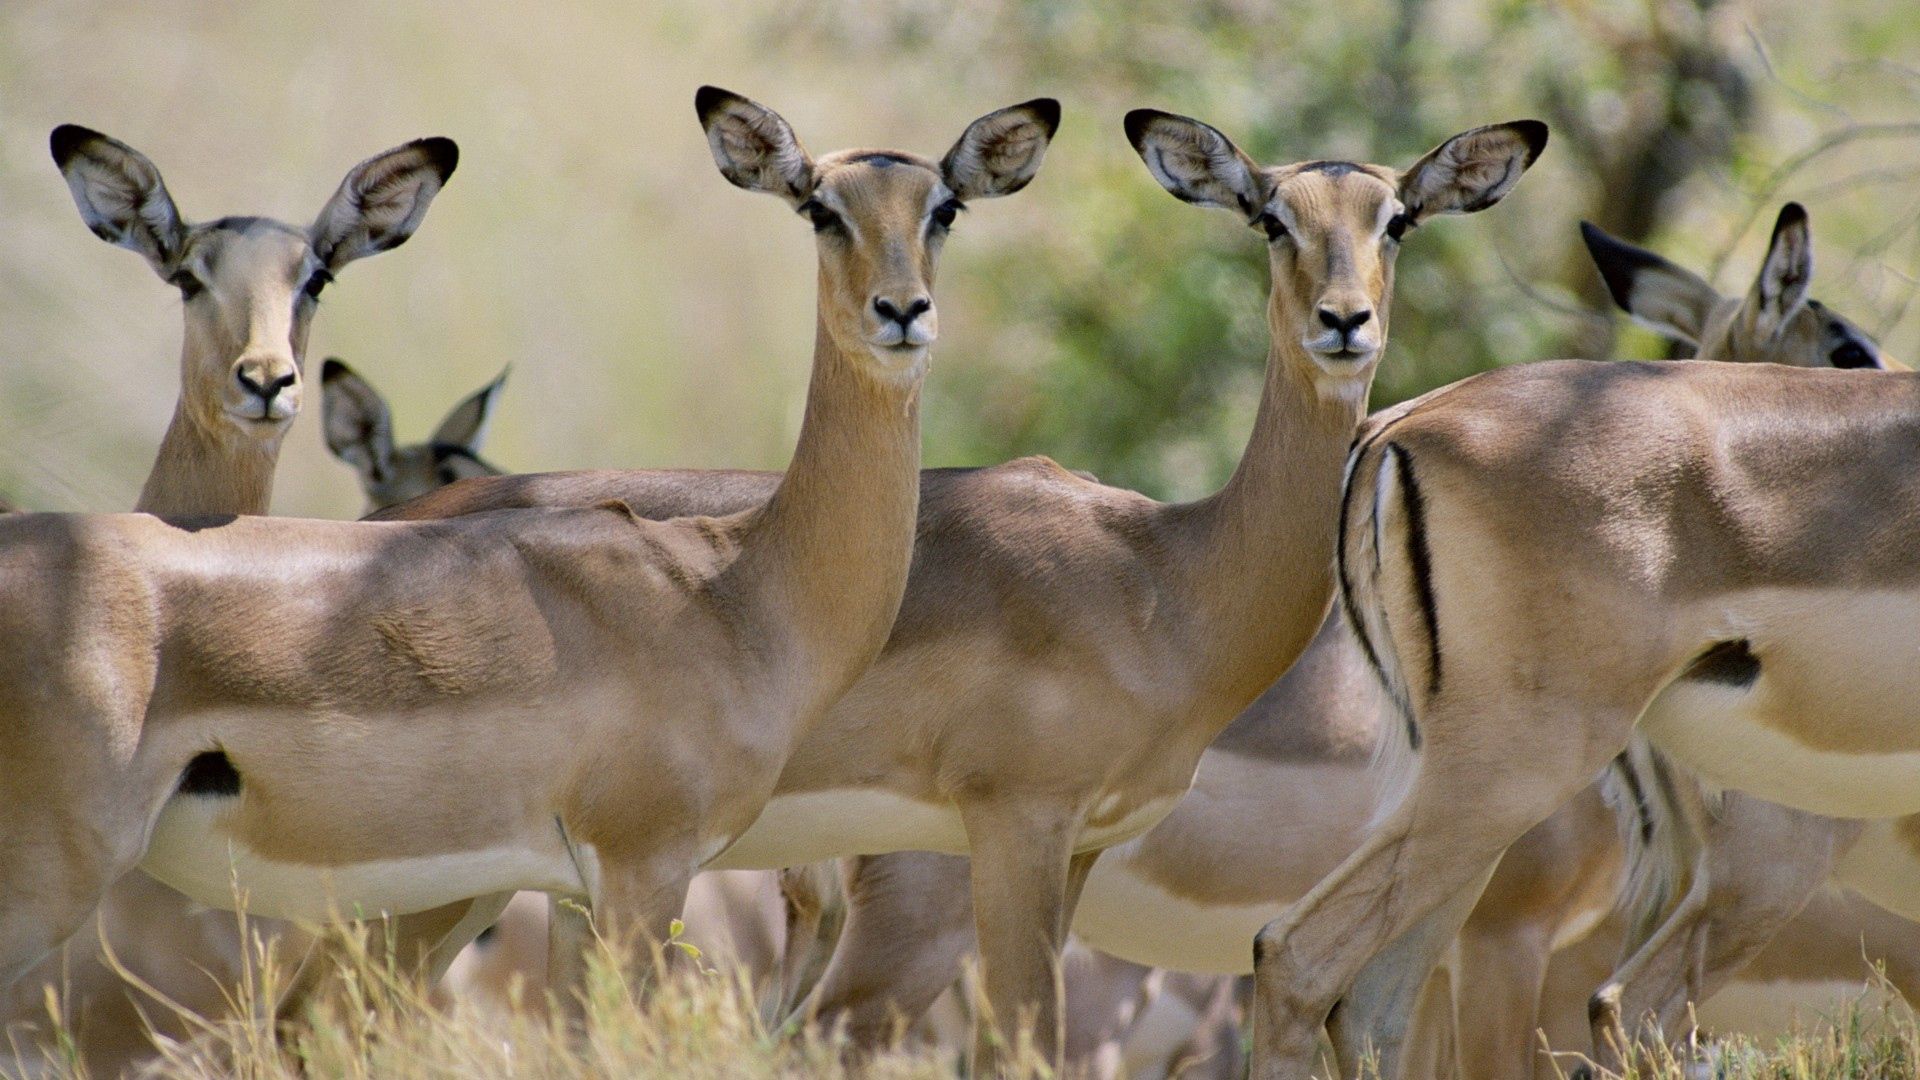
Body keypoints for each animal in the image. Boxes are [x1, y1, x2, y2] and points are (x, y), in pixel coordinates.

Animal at [370, 109, 1543, 1060]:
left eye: (1397, 219)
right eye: (1269, 219)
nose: (1345, 323)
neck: (1163, 575)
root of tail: (387, 524)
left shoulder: (1082, 845)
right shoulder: (1018, 827)